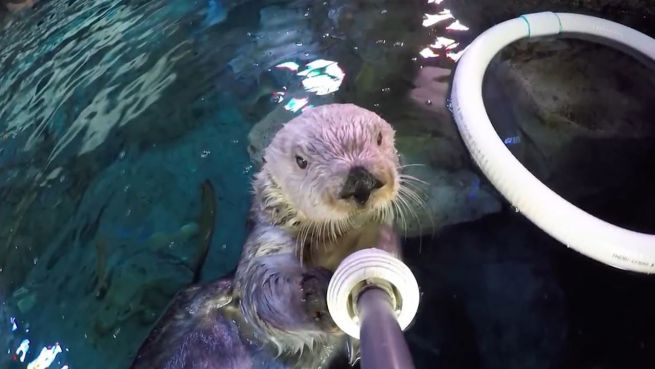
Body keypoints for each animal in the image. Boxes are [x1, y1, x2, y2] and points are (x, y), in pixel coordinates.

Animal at [129, 103, 416, 368]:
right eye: (301, 161)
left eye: (378, 138)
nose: (360, 181)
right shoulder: (265, 242)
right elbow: (262, 289)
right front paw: (314, 295)